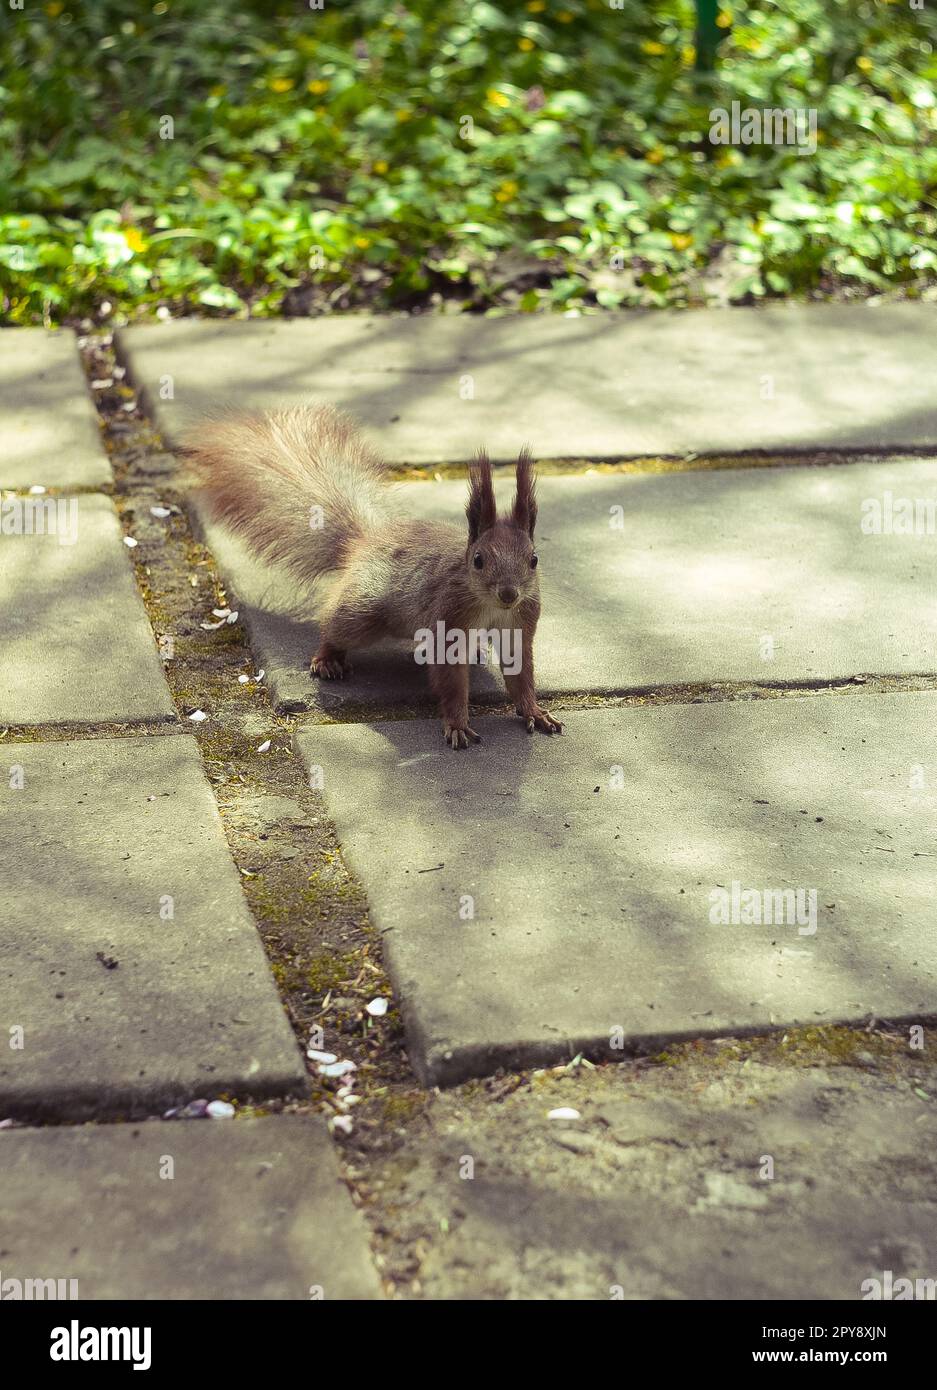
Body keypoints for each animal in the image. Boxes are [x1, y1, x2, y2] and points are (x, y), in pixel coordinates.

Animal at [183, 403, 561, 750]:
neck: (490, 607)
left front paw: (534, 711)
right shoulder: (449, 618)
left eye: (534, 560)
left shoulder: (522, 622)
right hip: (362, 612)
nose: (509, 594)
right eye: (479, 561)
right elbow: (452, 682)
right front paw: (457, 724)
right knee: (335, 624)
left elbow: (520, 672)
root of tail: (366, 542)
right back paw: (327, 659)